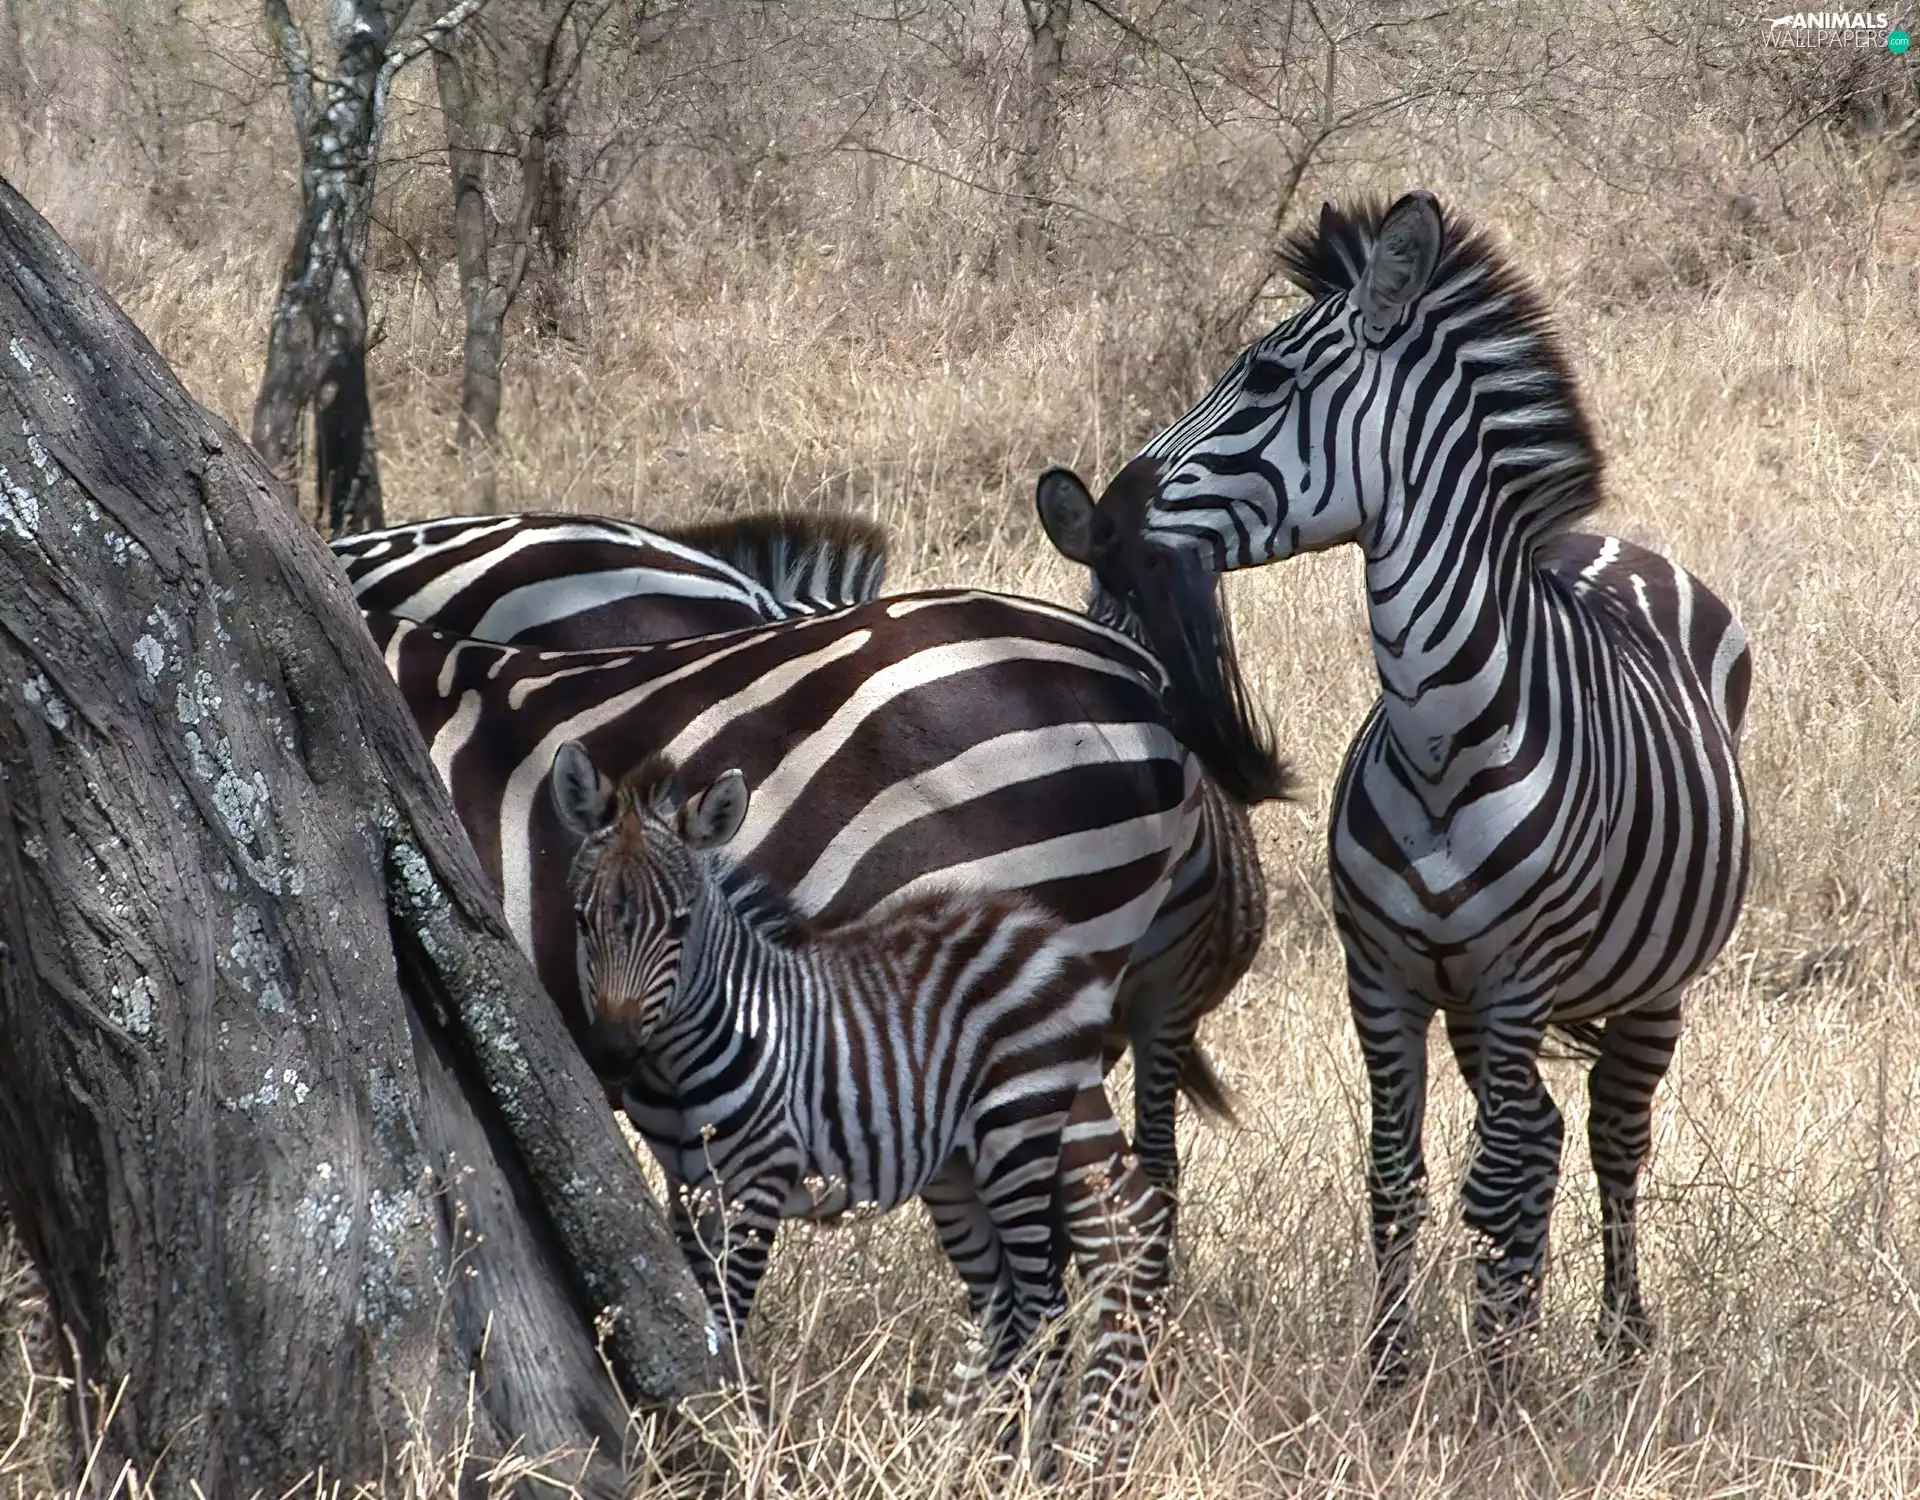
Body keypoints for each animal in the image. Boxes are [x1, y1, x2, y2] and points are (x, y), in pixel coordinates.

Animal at [549, 743, 1171, 1477]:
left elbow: (728, 1317)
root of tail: (1034, 925)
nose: (613, 1052)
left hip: (1016, 1131)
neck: (679, 1065)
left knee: (1045, 1306)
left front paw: (737, 1442)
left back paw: (1028, 1470)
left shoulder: (758, 1178)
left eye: (679, 923)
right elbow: (696, 1305)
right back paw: (980, 1459)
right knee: (1010, 1305)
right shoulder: (687, 1185)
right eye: (582, 919)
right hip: (958, 1172)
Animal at [1036, 191, 1752, 1387]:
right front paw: (1391, 1375)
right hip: (1467, 1002)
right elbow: (1396, 1175)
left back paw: (1616, 1339)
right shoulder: (1383, 979)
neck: (1442, 740)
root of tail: (1612, 546)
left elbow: (1492, 1185)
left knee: (1610, 1136)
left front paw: (1496, 1395)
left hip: (1648, 985)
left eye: (1266, 378)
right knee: (1544, 1137)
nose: (1094, 517)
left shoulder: (1515, 981)